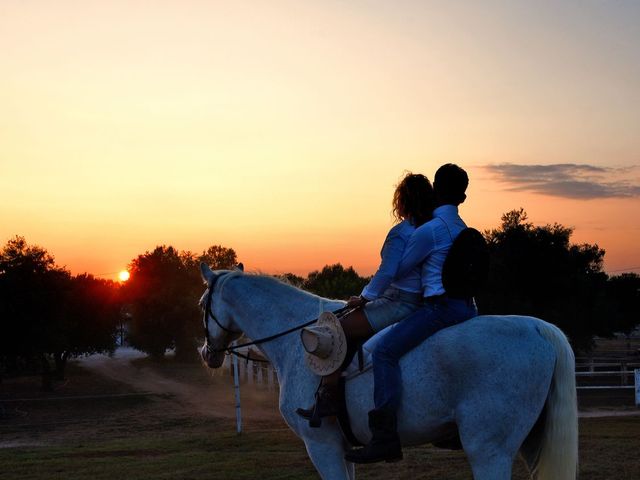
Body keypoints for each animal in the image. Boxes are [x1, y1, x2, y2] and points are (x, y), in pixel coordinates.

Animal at [198, 266, 576, 480]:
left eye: (202, 303)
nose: (206, 353)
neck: (297, 337)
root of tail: (537, 328)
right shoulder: (340, 449)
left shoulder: (321, 447)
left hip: (488, 451)